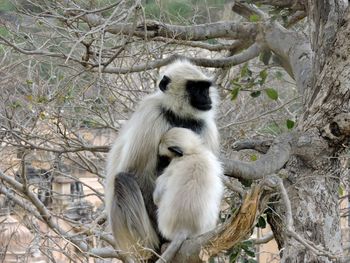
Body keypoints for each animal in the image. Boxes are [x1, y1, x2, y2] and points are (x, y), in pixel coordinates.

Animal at [154, 127, 224, 262]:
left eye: (166, 158)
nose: (162, 163)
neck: (194, 152)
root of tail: (185, 226)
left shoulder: (174, 164)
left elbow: (157, 197)